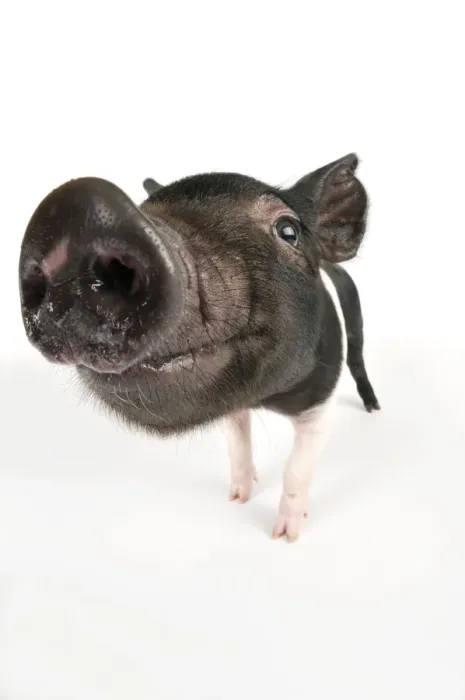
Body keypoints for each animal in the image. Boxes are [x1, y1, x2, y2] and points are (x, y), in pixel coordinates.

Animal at [18, 153, 380, 541]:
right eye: (144, 207)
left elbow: (296, 467)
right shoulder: (232, 408)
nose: (81, 207)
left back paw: (373, 407)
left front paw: (284, 536)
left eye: (288, 230)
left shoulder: (321, 402)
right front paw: (238, 498)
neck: (263, 397)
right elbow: (238, 442)